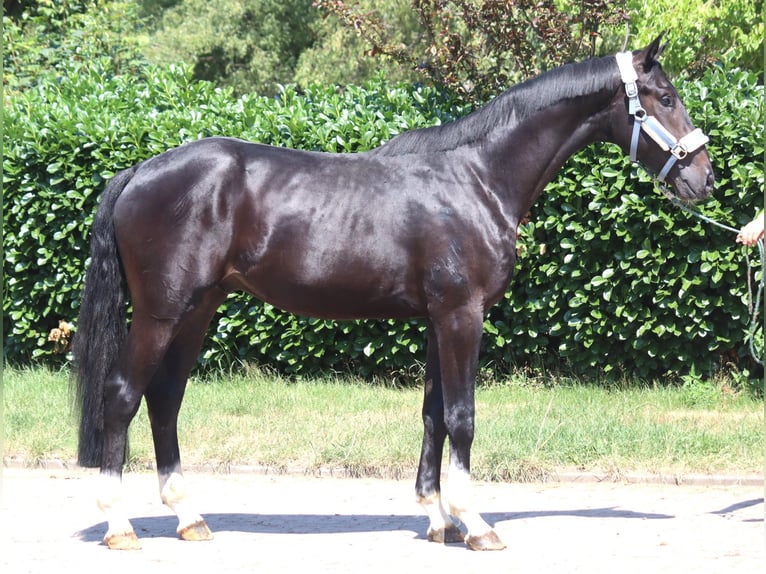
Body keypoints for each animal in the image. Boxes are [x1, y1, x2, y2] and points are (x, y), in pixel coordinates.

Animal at [73, 36, 714, 551]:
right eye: (663, 96)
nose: (702, 178)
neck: (478, 179)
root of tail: (140, 171)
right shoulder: (461, 315)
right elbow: (461, 416)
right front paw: (475, 524)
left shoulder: (437, 319)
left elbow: (432, 414)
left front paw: (438, 520)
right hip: (160, 312)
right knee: (123, 396)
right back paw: (119, 526)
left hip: (197, 309)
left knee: (165, 398)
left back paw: (190, 518)